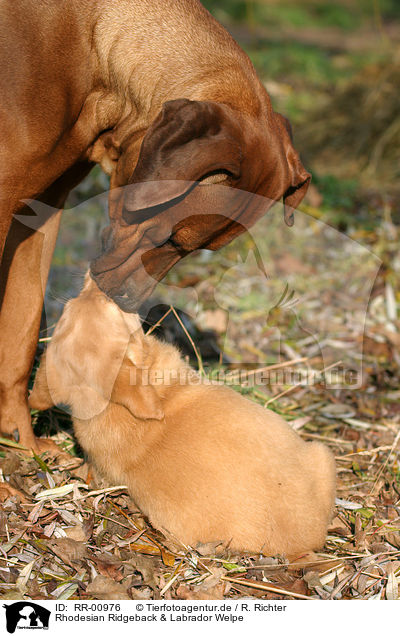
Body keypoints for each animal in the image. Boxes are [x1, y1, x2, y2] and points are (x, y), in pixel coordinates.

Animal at [0, 1, 310, 452]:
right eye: (166, 236)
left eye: (192, 249)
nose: (127, 302)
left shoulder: (40, 210)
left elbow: (20, 333)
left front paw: (21, 440)